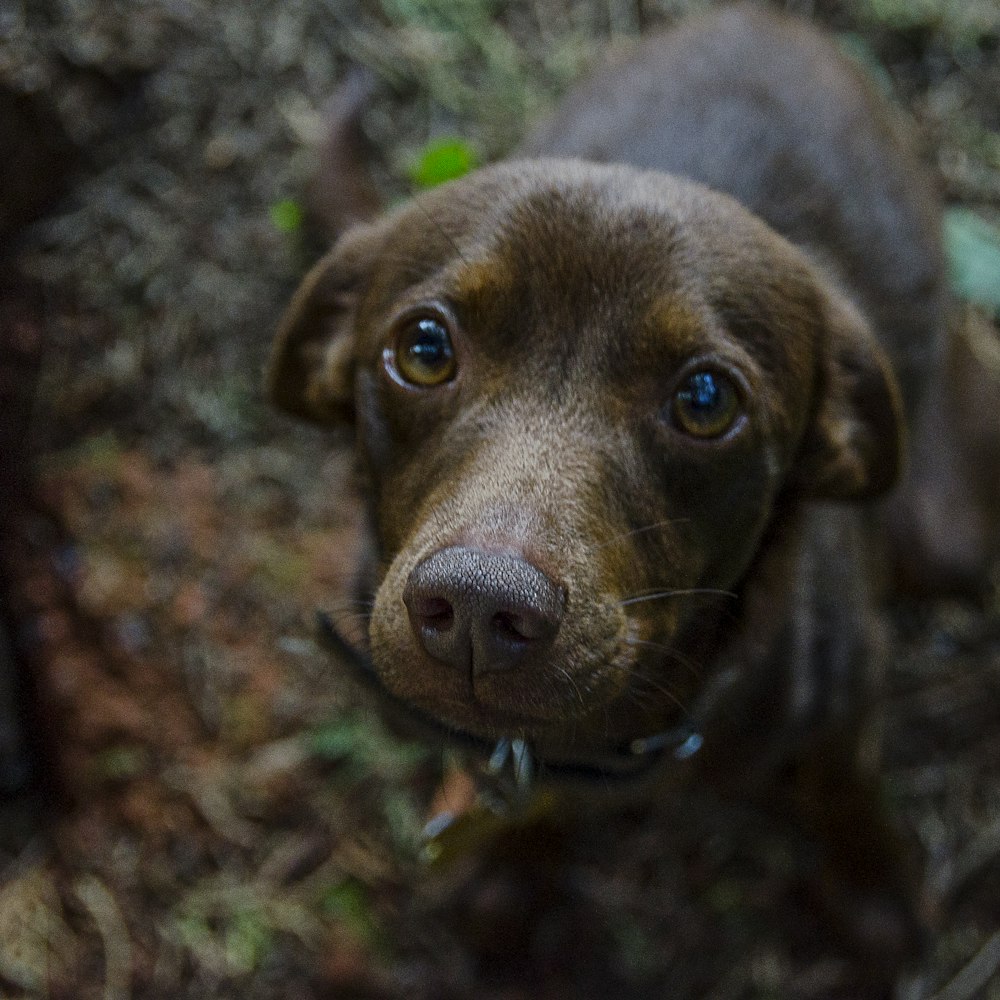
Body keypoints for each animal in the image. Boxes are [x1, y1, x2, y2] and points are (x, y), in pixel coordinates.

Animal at [268, 3, 1000, 960]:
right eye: (424, 349)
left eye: (704, 398)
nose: (477, 604)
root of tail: (768, 21)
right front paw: (514, 861)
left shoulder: (850, 692)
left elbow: (844, 785)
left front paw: (872, 885)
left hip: (950, 526)